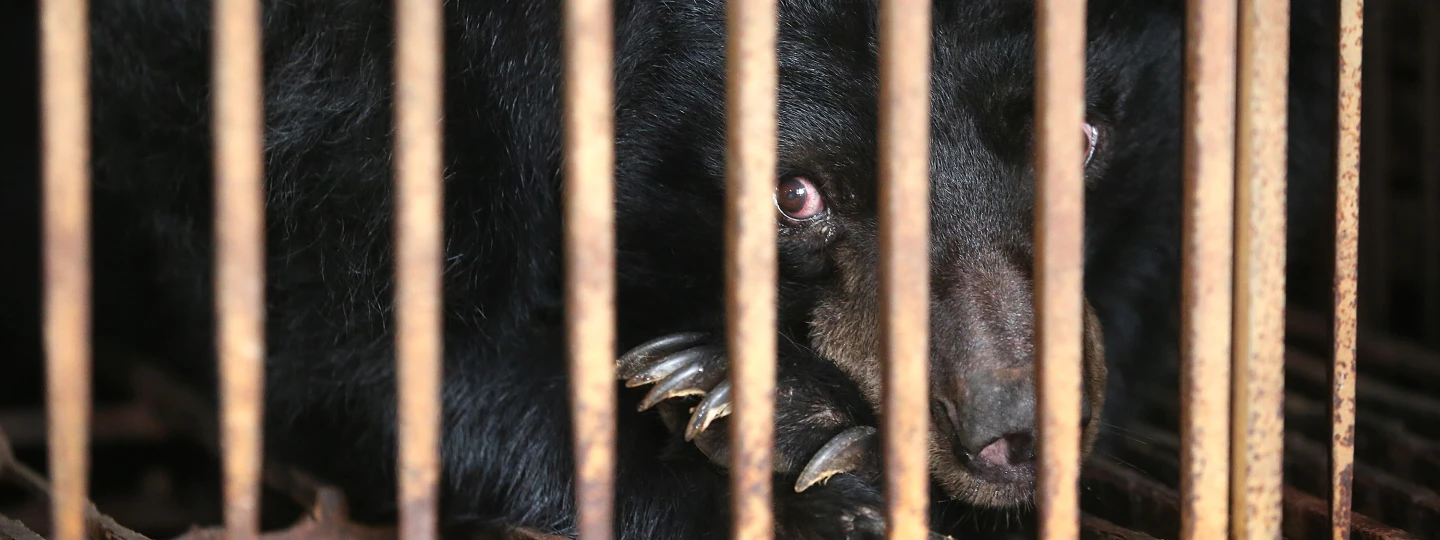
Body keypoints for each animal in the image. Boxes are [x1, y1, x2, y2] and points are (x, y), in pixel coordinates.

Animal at [2, 0, 1339, 537]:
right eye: (795, 193)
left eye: (1084, 134)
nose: (1017, 434)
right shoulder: (328, 100)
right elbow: (359, 344)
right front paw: (770, 436)